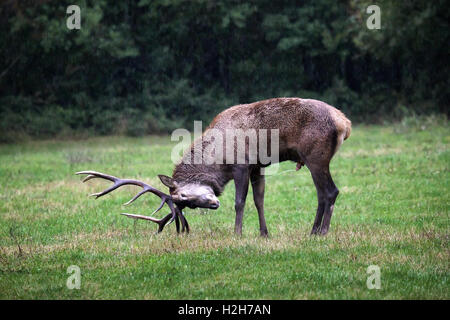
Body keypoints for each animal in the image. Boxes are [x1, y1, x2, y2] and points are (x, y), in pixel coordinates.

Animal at [77, 97, 352, 235]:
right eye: (188, 204)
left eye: (184, 198)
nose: (213, 204)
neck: (217, 157)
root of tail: (345, 123)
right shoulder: (258, 166)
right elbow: (259, 200)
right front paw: (264, 233)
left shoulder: (241, 164)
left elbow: (240, 201)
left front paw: (237, 234)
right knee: (321, 194)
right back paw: (313, 231)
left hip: (316, 155)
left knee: (331, 191)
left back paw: (322, 232)